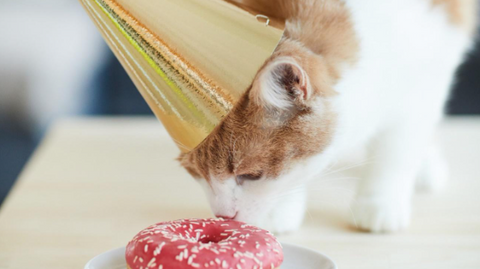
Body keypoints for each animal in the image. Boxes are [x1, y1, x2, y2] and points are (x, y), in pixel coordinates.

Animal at [180, 0, 476, 232]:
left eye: (251, 176)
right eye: (193, 172)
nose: (223, 216)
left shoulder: (427, 72)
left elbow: (396, 149)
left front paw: (380, 200)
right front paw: (280, 208)